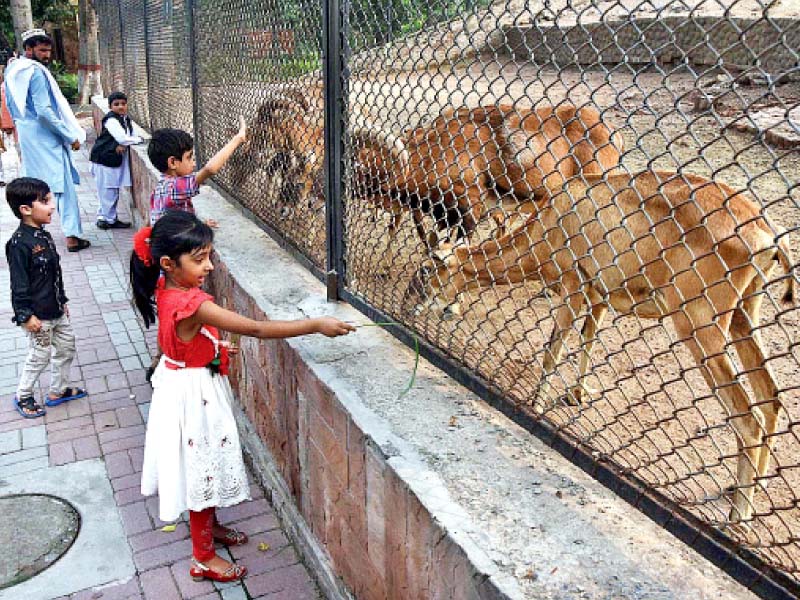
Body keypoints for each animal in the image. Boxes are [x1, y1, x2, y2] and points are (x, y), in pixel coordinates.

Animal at [406, 169, 792, 520]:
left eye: (427, 269)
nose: (412, 306)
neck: (551, 220)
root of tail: (768, 237)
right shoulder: (600, 296)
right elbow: (588, 339)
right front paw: (577, 394)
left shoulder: (573, 286)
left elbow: (554, 348)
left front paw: (536, 405)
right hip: (745, 314)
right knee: (771, 395)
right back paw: (752, 487)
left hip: (700, 324)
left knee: (750, 418)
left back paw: (739, 514)